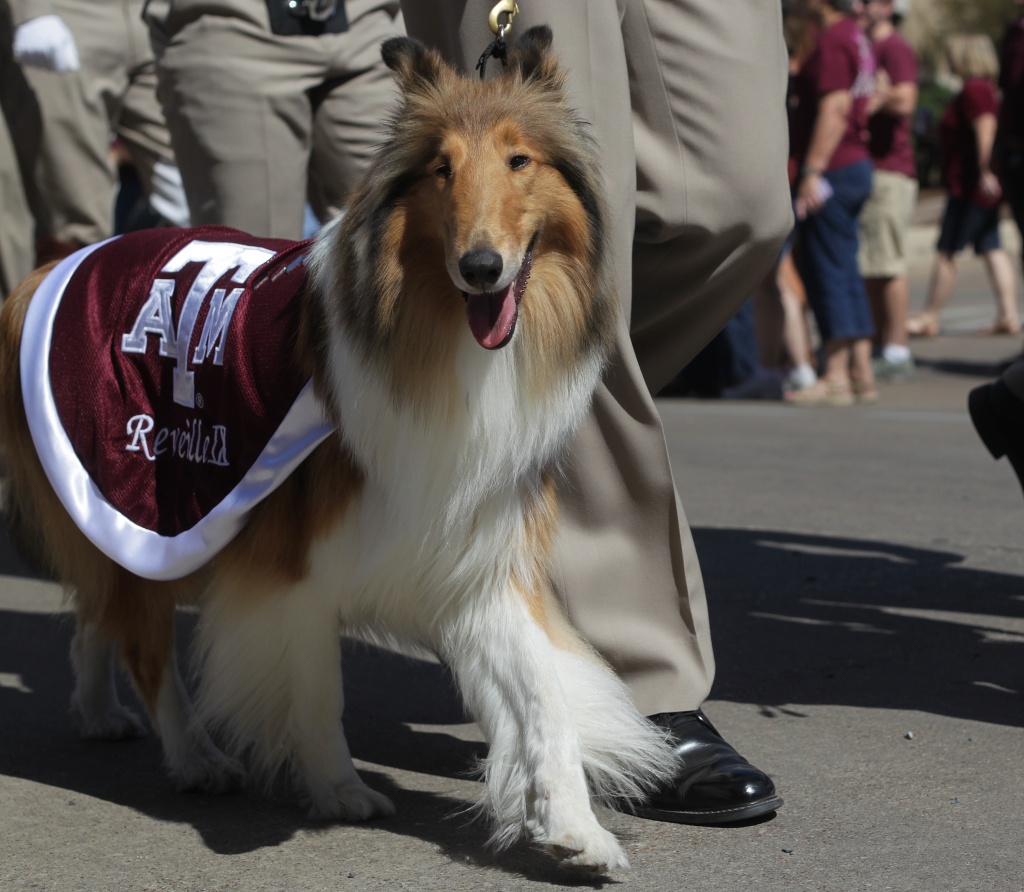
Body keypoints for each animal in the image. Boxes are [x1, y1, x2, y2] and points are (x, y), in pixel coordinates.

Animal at [2, 27, 679, 872]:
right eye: (440, 168)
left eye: (520, 160)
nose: (481, 268)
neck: (435, 340)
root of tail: (53, 267)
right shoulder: (292, 563)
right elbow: (318, 687)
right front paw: (336, 790)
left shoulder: (473, 551)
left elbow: (543, 697)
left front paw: (573, 828)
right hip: (147, 500)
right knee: (146, 646)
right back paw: (194, 756)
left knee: (102, 614)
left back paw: (97, 710)